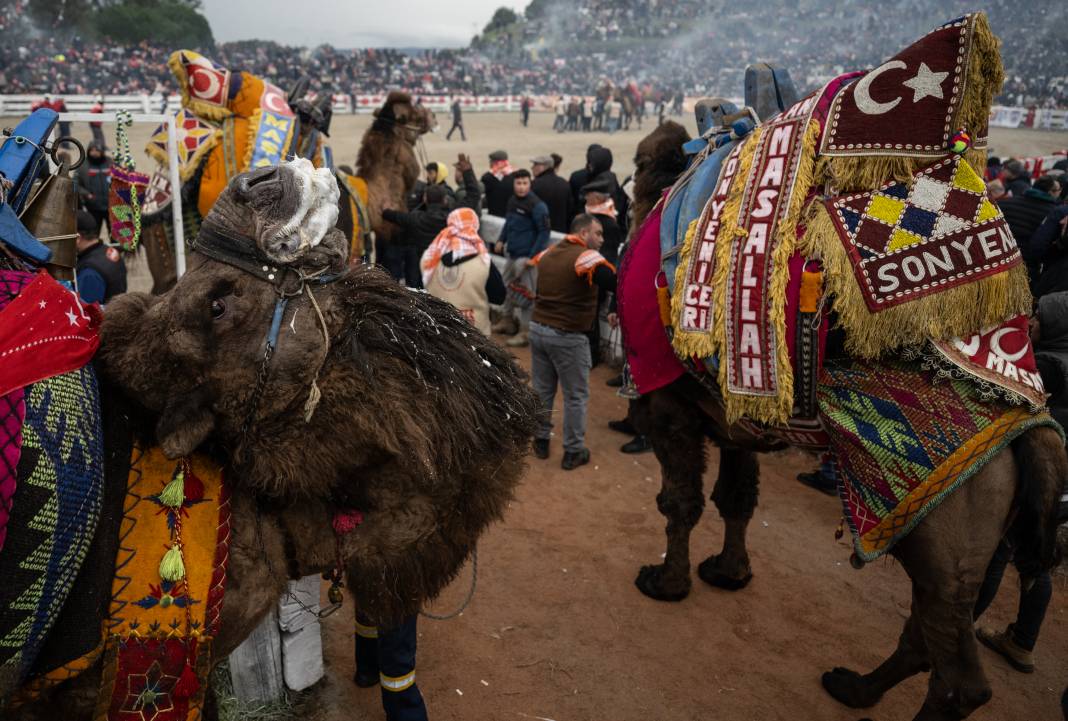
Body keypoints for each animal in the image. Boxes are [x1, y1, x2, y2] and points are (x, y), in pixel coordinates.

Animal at [619, 15, 1068, 717]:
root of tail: (1037, 429)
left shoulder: (668, 405)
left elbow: (681, 500)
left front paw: (666, 581)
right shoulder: (737, 414)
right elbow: (737, 498)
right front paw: (728, 573)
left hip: (944, 524)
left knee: (958, 672)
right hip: (964, 542)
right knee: (930, 633)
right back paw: (854, 686)